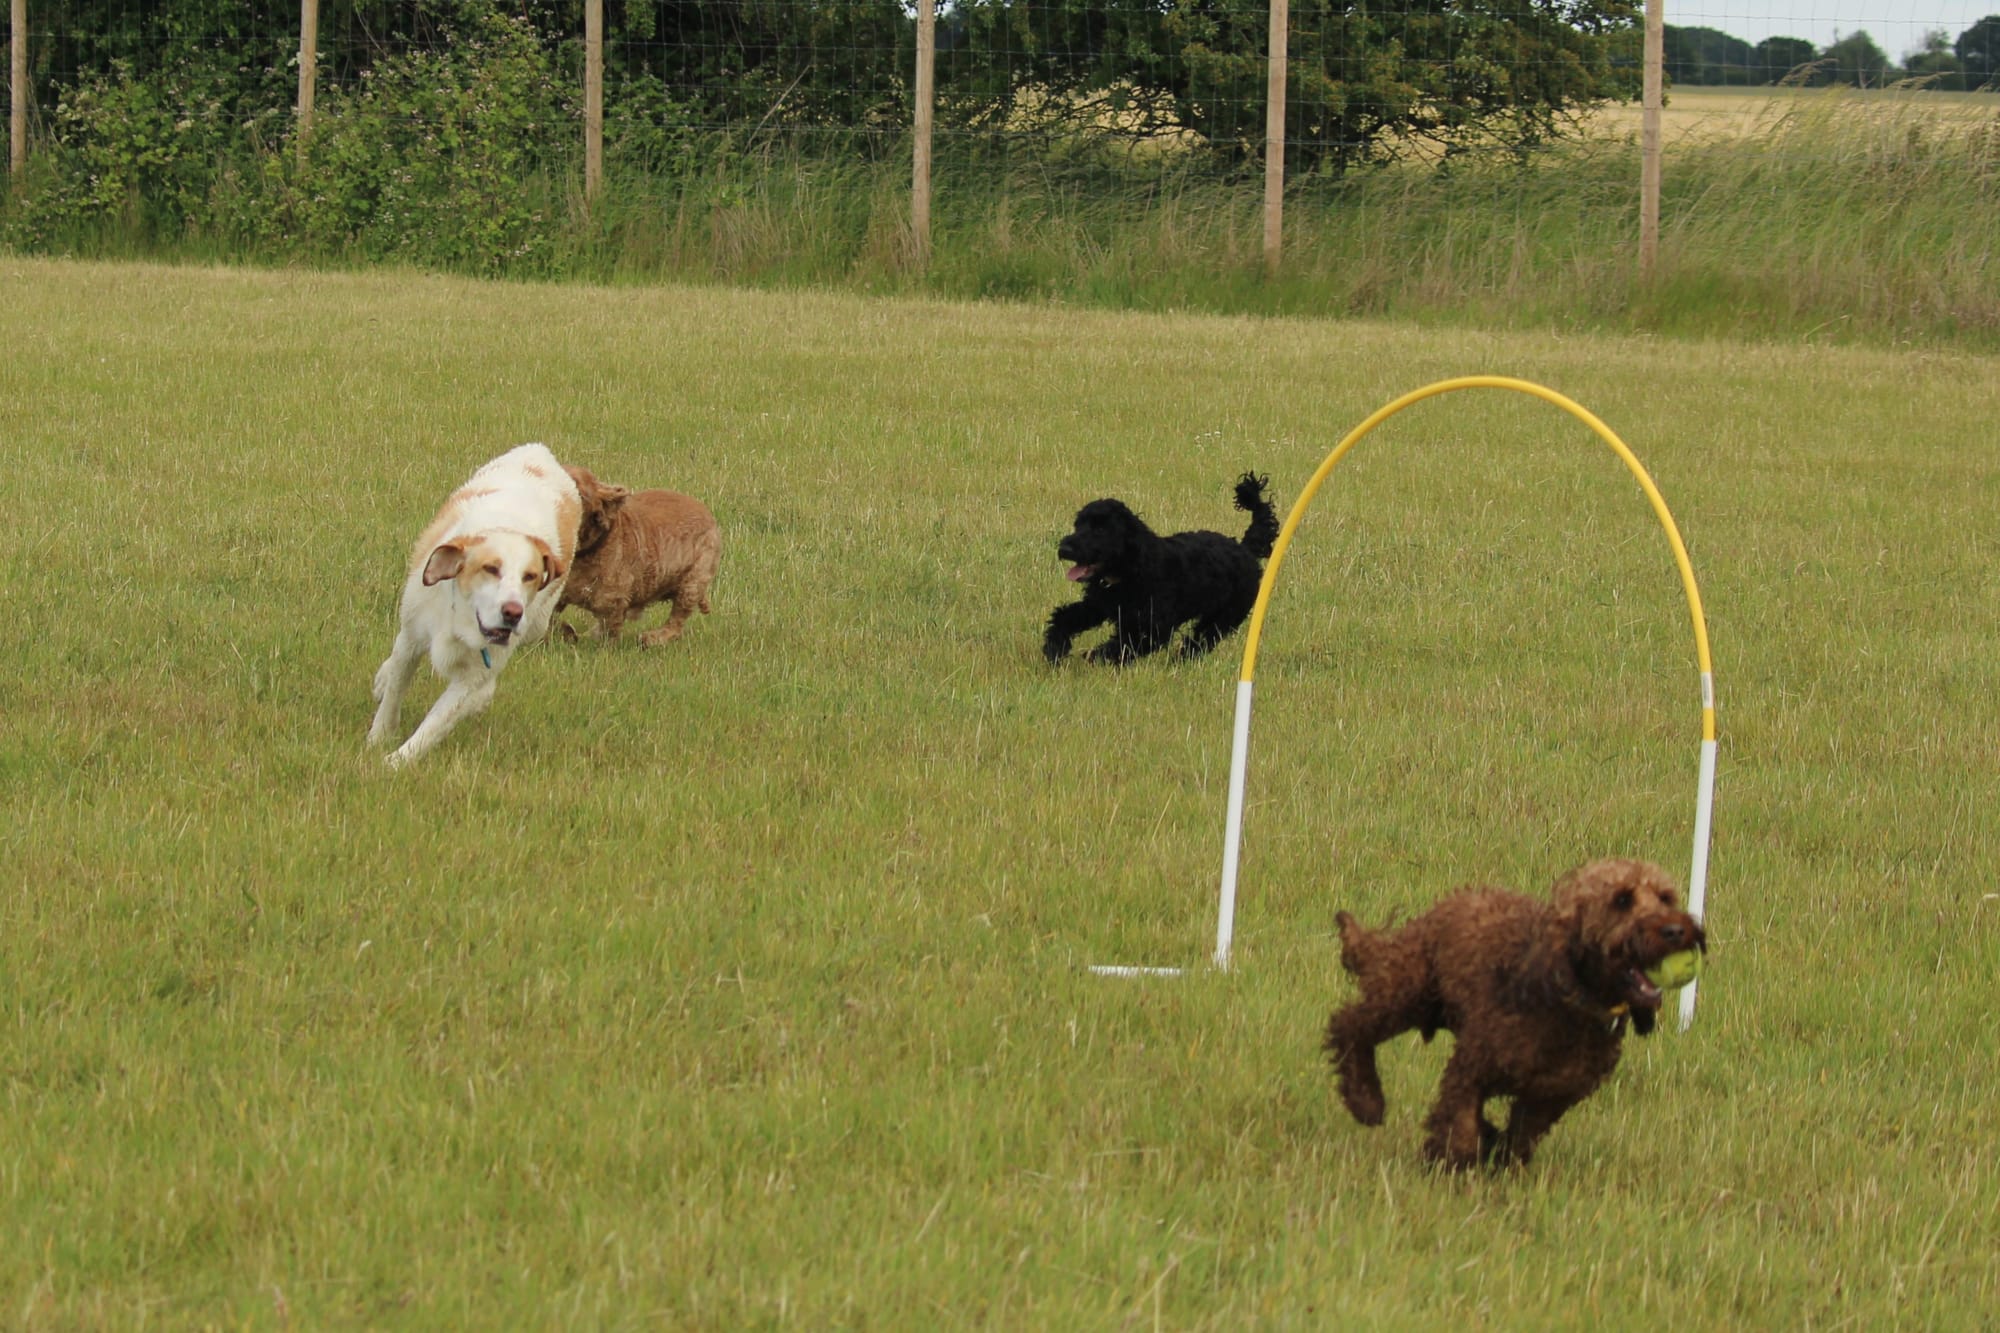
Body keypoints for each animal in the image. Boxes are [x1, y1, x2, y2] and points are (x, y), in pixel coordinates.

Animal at [367, 443, 579, 766]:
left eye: (530, 576)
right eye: (491, 568)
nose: (513, 612)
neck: (461, 620)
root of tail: (542, 453)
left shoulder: (474, 674)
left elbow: (437, 722)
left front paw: (397, 761)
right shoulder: (412, 634)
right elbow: (395, 688)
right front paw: (378, 737)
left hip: (536, 626)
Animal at [558, 465, 721, 646]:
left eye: (580, 493)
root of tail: (710, 518)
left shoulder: (613, 601)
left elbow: (609, 633)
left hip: (692, 582)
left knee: (676, 622)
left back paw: (651, 638)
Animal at [1043, 472, 1278, 664]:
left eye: (1100, 529)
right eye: (1078, 524)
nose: (1064, 548)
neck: (1130, 570)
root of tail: (1244, 548)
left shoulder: (1154, 629)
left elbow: (1121, 647)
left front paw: (1093, 657)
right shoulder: (1098, 605)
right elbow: (1064, 617)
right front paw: (1054, 648)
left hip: (1224, 617)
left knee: (1201, 641)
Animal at [1323, 857, 1705, 1170]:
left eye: (1666, 897)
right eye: (1622, 900)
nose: (1676, 930)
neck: (1572, 1002)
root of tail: (1447, 903)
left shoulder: (1550, 1096)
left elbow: (1518, 1137)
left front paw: (1494, 1152)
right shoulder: (1470, 1067)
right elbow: (1461, 1127)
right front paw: (1448, 1159)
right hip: (1407, 992)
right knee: (1349, 1025)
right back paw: (1366, 1099)